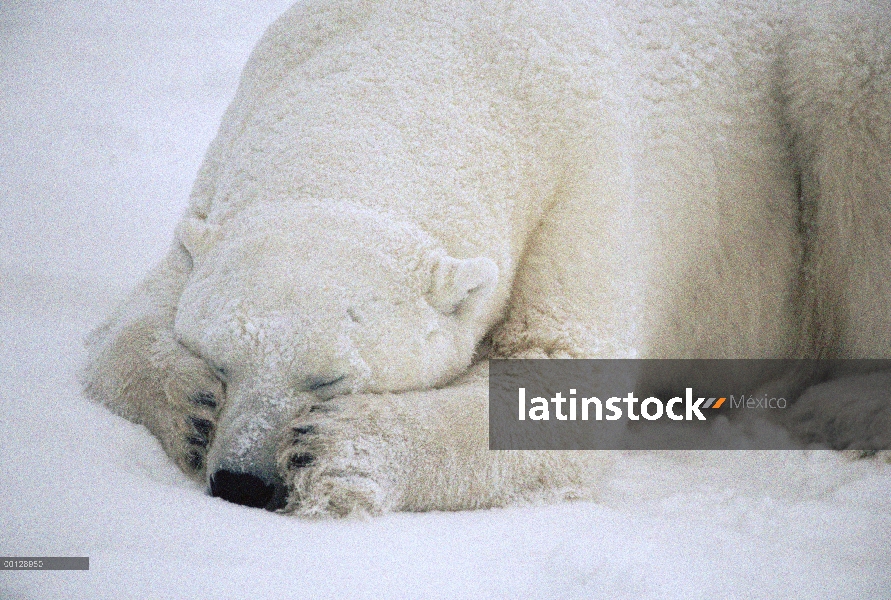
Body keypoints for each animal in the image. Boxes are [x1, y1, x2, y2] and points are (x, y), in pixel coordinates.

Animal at [80, 0, 888, 516]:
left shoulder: (584, 182)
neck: (418, 53)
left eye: (329, 380)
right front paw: (188, 407)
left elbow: (560, 385)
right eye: (219, 359)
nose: (242, 483)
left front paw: (335, 455)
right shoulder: (230, 154)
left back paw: (846, 409)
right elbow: (132, 316)